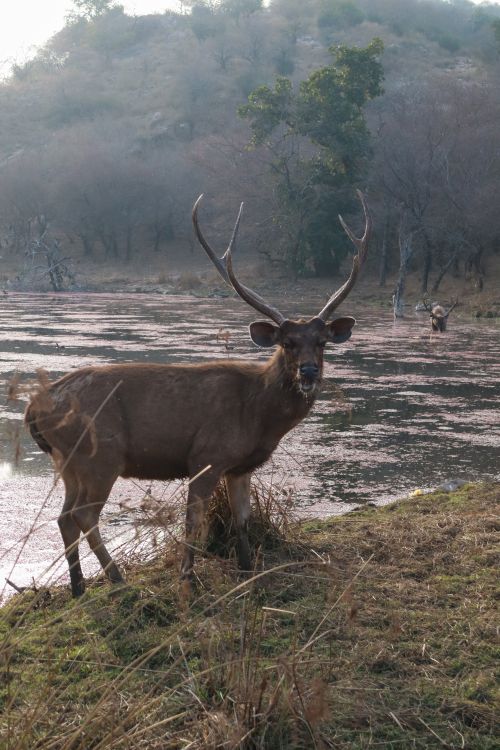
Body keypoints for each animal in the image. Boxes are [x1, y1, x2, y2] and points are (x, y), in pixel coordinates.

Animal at [25, 191, 370, 598]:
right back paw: (118, 580)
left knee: (64, 516)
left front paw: (247, 572)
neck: (257, 416)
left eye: (322, 342)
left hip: (67, 460)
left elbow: (242, 521)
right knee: (83, 515)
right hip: (100, 453)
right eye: (287, 343)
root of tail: (33, 408)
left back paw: (79, 587)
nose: (309, 371)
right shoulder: (206, 456)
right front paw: (188, 579)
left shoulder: (240, 466)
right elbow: (193, 522)